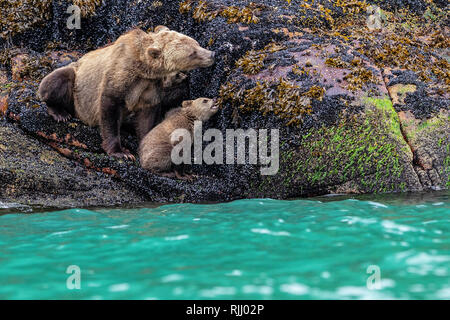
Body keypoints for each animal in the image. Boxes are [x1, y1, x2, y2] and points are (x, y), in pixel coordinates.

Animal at [38, 26, 214, 160]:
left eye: (197, 43)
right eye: (192, 53)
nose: (212, 54)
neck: (144, 69)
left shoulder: (149, 86)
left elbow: (147, 115)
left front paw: (146, 142)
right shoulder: (120, 75)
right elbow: (110, 106)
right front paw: (121, 152)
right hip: (77, 88)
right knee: (58, 79)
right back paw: (60, 113)